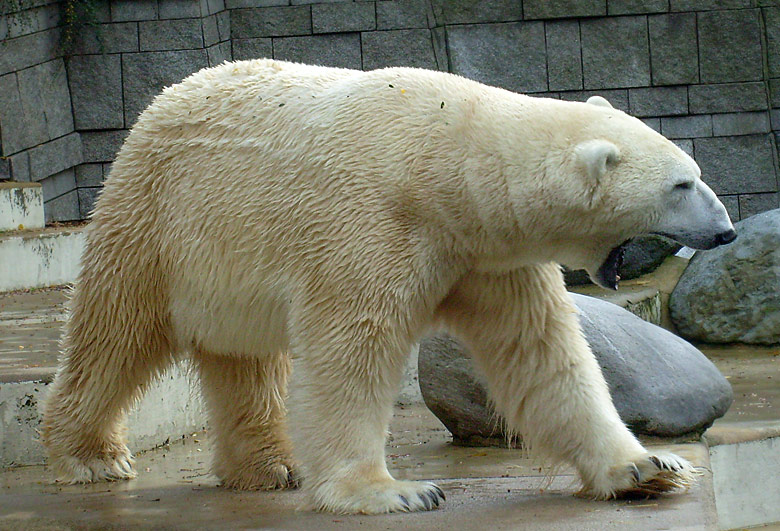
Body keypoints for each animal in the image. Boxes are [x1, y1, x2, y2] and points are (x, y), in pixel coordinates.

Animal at [41, 59, 736, 516]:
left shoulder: (488, 255)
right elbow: (351, 349)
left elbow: (541, 353)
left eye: (696, 172)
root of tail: (163, 98)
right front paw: (391, 491)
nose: (727, 230)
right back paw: (92, 455)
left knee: (245, 357)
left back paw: (271, 465)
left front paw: (648, 466)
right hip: (160, 218)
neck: (450, 164)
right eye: (681, 184)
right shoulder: (372, 223)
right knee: (117, 332)